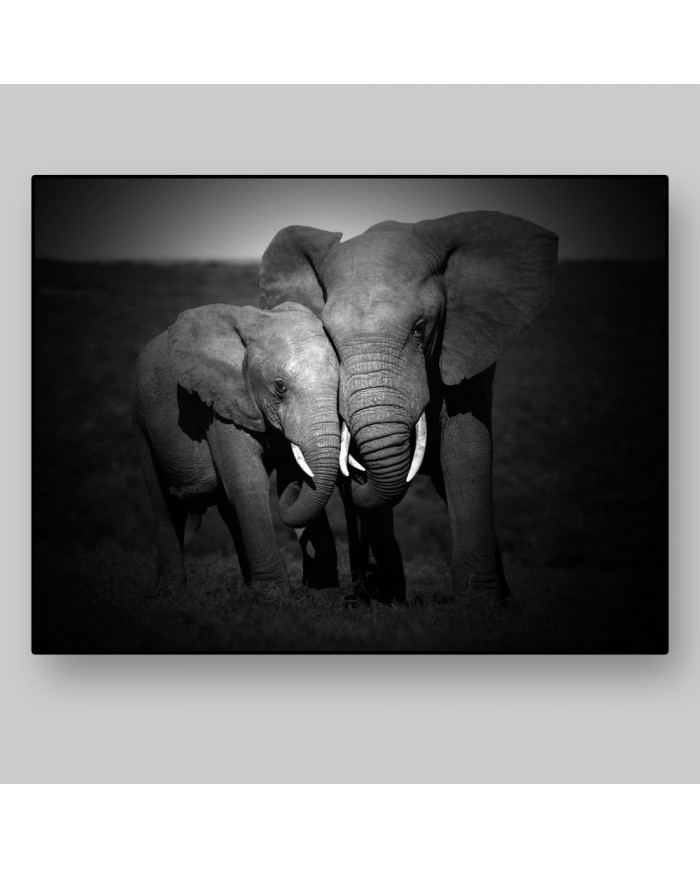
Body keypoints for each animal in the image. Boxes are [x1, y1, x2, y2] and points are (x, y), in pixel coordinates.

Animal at [132, 301, 341, 595]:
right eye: (280, 387)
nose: (297, 486)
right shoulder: (218, 405)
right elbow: (248, 482)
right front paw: (274, 595)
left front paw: (324, 595)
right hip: (141, 422)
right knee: (165, 506)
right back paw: (171, 593)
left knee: (228, 510)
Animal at [259, 212, 558, 603]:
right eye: (329, 337)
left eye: (420, 328)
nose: (355, 475)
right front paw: (384, 600)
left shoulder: (465, 351)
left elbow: (465, 452)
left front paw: (480, 602)